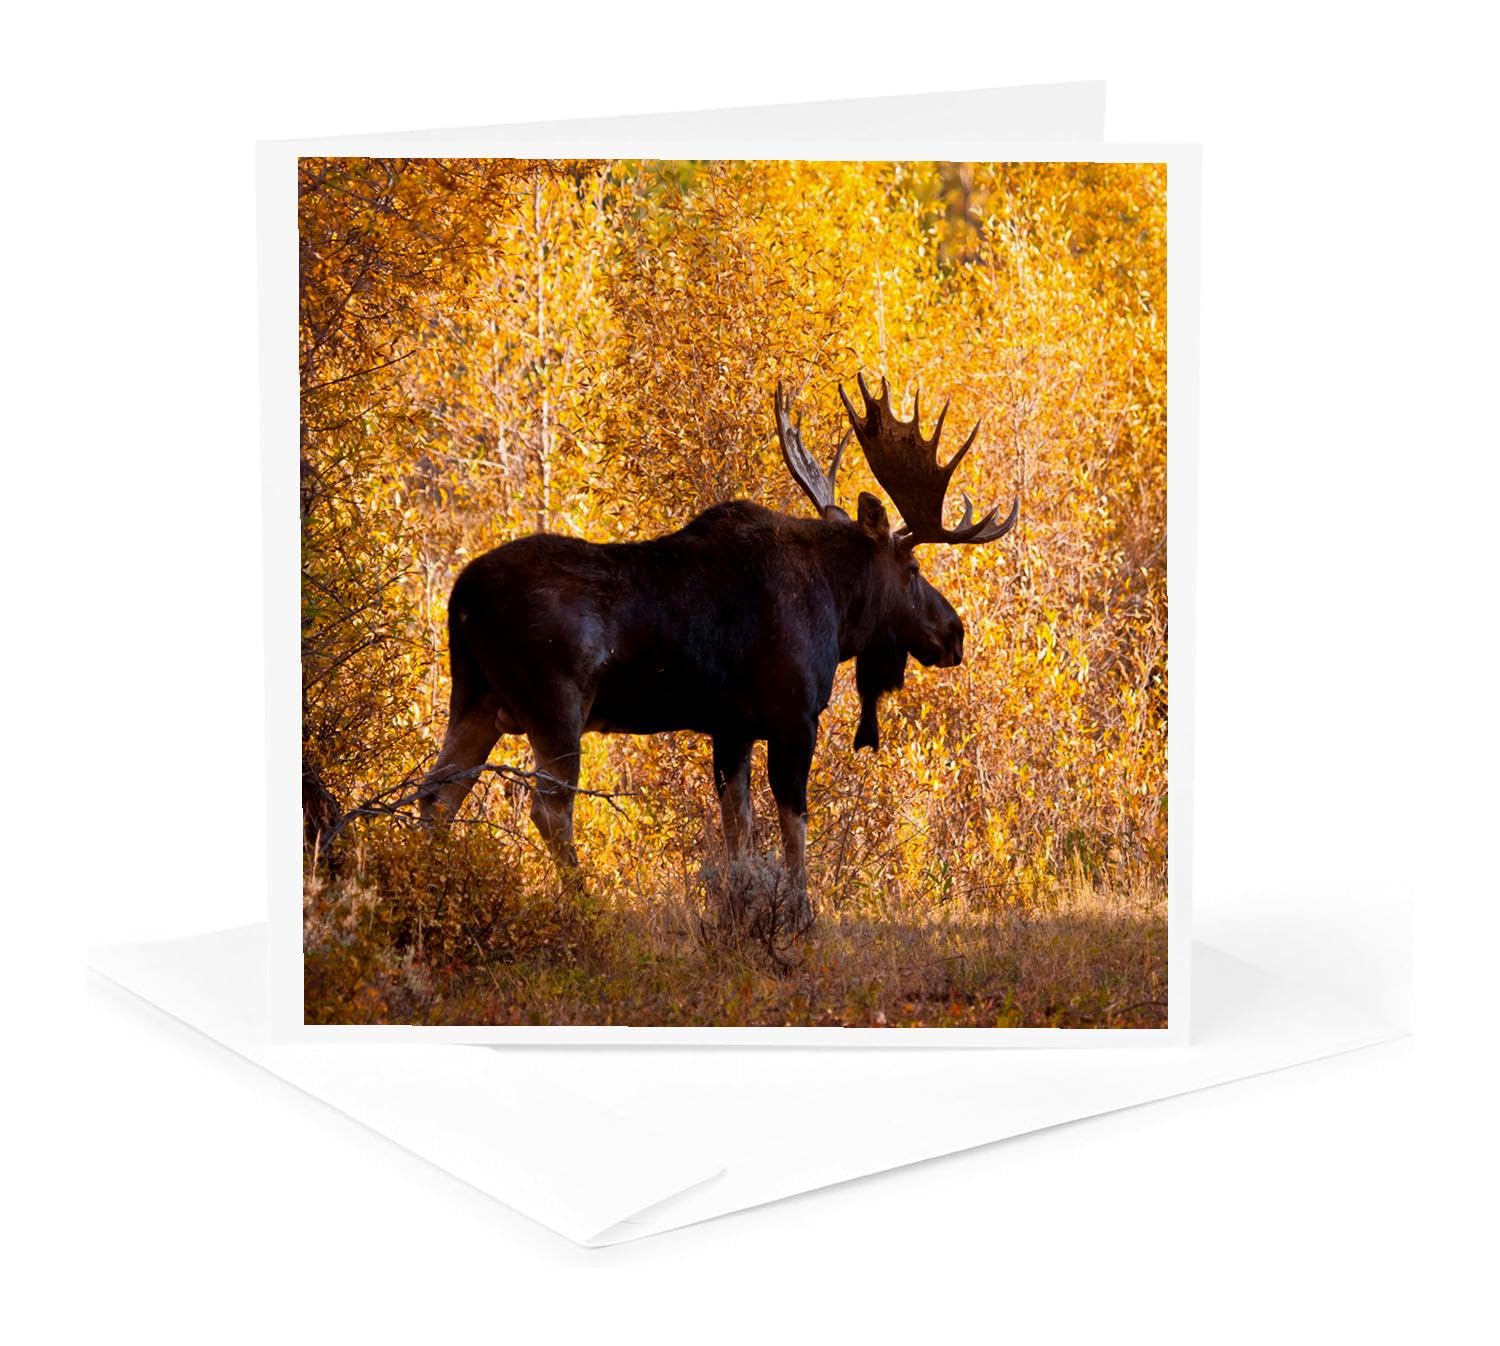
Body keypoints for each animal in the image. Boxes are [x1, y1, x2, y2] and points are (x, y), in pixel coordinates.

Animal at [418, 374, 1018, 933]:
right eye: (913, 570)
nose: (954, 633)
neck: (840, 608)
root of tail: (462, 596)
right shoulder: (793, 717)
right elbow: (793, 822)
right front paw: (800, 914)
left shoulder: (732, 727)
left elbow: (738, 826)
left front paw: (741, 908)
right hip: (555, 707)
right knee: (548, 808)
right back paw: (584, 907)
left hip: (474, 699)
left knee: (437, 794)